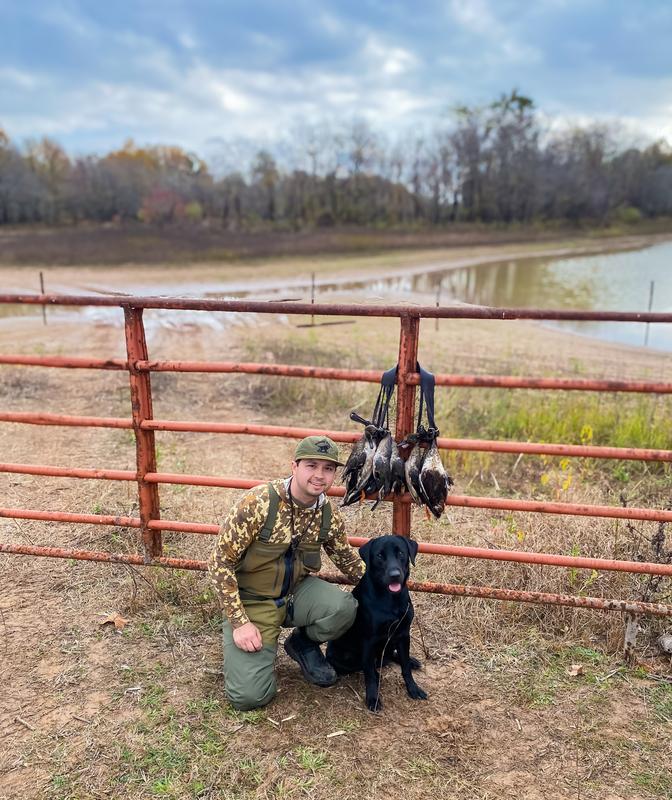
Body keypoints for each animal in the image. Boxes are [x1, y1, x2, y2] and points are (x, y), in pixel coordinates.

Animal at [328, 532, 428, 712]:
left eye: (401, 553)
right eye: (379, 556)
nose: (395, 575)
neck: (390, 600)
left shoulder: (403, 635)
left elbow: (405, 668)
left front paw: (413, 688)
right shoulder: (369, 641)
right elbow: (369, 675)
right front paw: (373, 698)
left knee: (389, 657)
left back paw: (410, 661)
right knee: (365, 665)